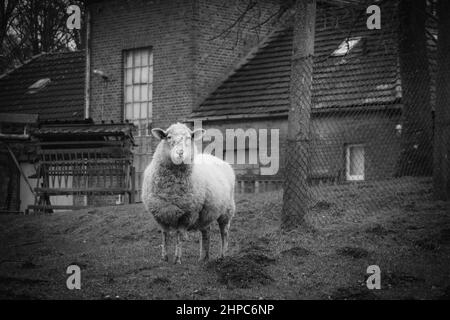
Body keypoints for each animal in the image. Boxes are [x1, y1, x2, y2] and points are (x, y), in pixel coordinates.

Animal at [142, 122, 237, 262]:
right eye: (168, 137)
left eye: (189, 137)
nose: (180, 153)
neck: (171, 190)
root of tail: (216, 158)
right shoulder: (160, 213)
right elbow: (165, 235)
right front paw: (164, 257)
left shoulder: (186, 214)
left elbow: (178, 234)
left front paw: (177, 258)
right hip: (206, 213)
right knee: (206, 231)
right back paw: (203, 257)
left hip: (227, 210)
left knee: (224, 232)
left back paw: (222, 255)